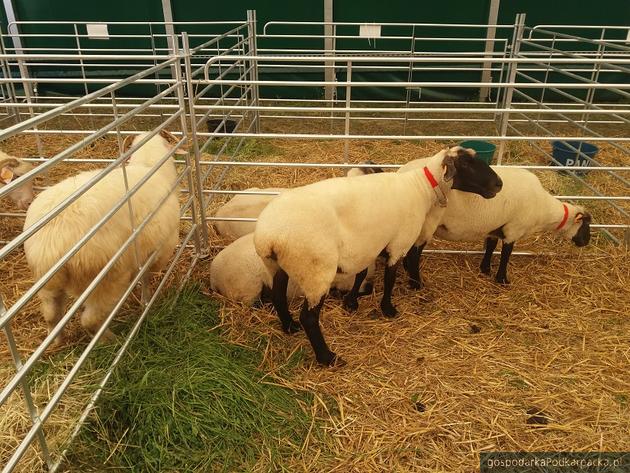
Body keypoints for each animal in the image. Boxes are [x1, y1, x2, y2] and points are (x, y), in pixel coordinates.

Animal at [23, 129, 186, 342]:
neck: (150, 167)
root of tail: (54, 240)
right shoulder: (158, 251)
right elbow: (145, 277)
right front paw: (146, 300)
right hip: (106, 278)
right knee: (90, 320)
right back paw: (111, 339)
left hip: (47, 283)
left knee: (51, 314)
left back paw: (56, 341)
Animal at [254, 148, 506, 366]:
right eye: (466, 163)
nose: (499, 184)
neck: (420, 188)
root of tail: (270, 237)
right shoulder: (399, 242)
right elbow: (390, 278)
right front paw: (388, 309)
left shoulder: (369, 245)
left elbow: (362, 274)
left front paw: (352, 302)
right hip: (316, 271)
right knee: (309, 317)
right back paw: (327, 358)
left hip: (276, 266)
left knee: (278, 296)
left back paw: (289, 326)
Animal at [402, 164, 596, 286]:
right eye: (585, 225)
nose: (586, 242)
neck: (543, 209)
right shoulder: (514, 229)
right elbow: (506, 255)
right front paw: (502, 279)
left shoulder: (496, 227)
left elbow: (491, 246)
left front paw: (485, 269)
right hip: (427, 224)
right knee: (414, 252)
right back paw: (416, 282)